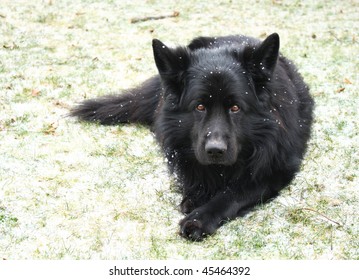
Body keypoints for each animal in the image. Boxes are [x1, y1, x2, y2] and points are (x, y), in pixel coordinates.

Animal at [71, 33, 316, 241]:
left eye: (235, 108)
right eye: (199, 106)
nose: (215, 150)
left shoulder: (275, 171)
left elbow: (232, 193)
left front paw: (200, 218)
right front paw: (195, 196)